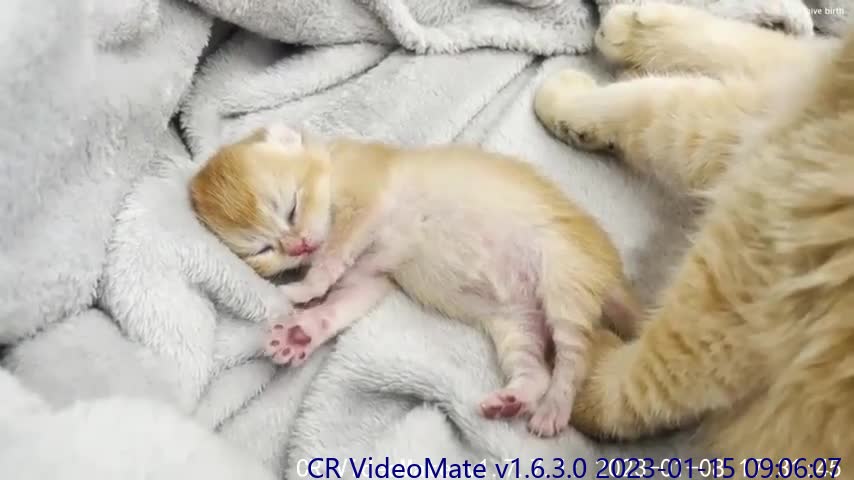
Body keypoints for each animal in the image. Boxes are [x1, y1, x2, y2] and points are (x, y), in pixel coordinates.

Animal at [189, 125, 640, 436]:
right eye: (265, 250)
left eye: (292, 208)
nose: (297, 246)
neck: (334, 165)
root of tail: (612, 272)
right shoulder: (371, 277)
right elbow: (342, 303)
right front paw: (302, 333)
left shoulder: (366, 201)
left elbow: (333, 255)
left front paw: (305, 288)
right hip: (518, 322)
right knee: (536, 367)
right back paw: (513, 400)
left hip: (564, 278)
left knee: (573, 359)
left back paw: (552, 410)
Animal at [536, 0, 854, 464]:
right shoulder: (795, 102)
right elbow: (749, 46)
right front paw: (638, 30)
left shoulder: (763, 228)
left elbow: (660, 108)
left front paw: (570, 101)